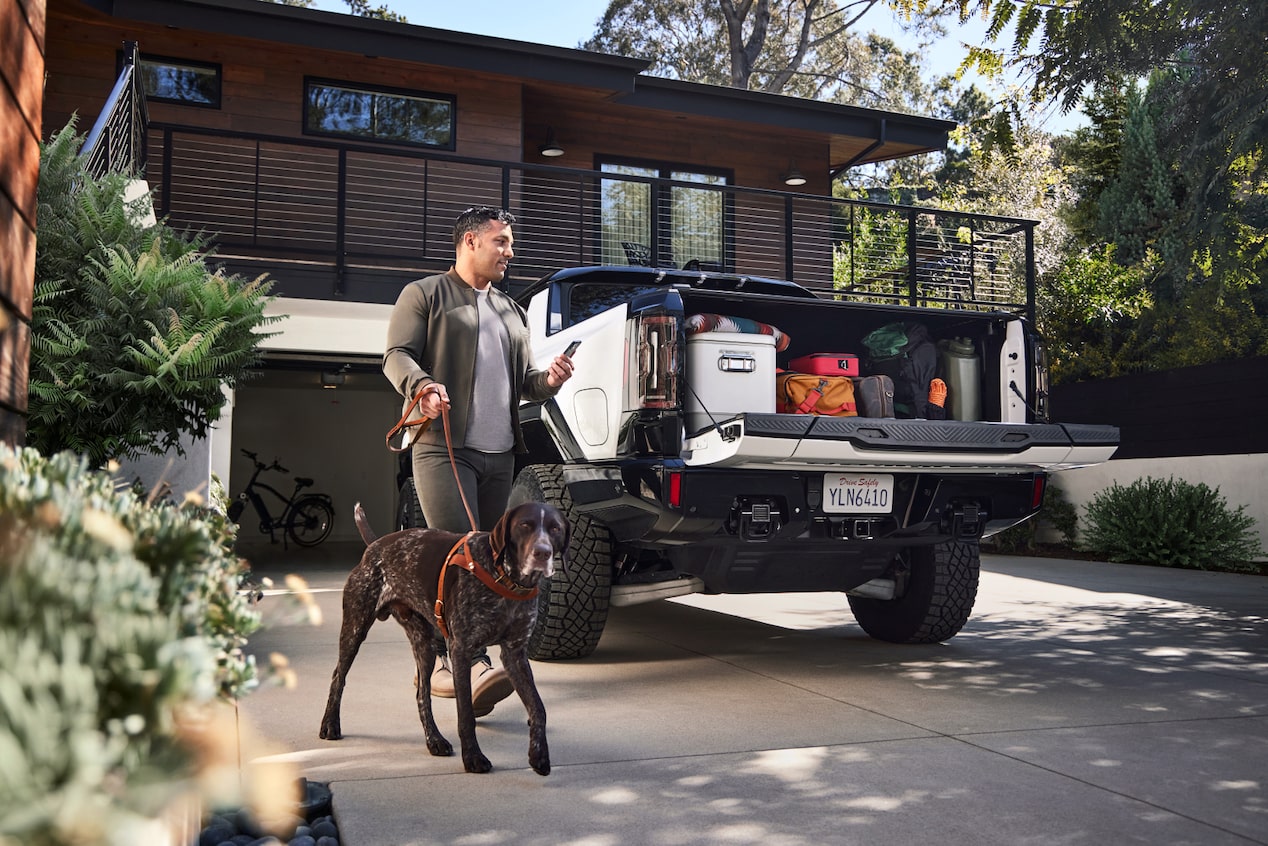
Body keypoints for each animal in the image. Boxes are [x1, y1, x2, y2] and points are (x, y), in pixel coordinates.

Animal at [319, 502, 568, 776]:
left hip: (424, 645)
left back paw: (434, 740)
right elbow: (466, 714)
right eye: (525, 525)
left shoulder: (515, 655)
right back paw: (330, 724)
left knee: (422, 695)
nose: (542, 553)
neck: (505, 579)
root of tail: (375, 545)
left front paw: (539, 755)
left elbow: (538, 708)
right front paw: (473, 757)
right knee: (338, 677)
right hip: (355, 628)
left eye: (555, 528)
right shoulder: (460, 649)